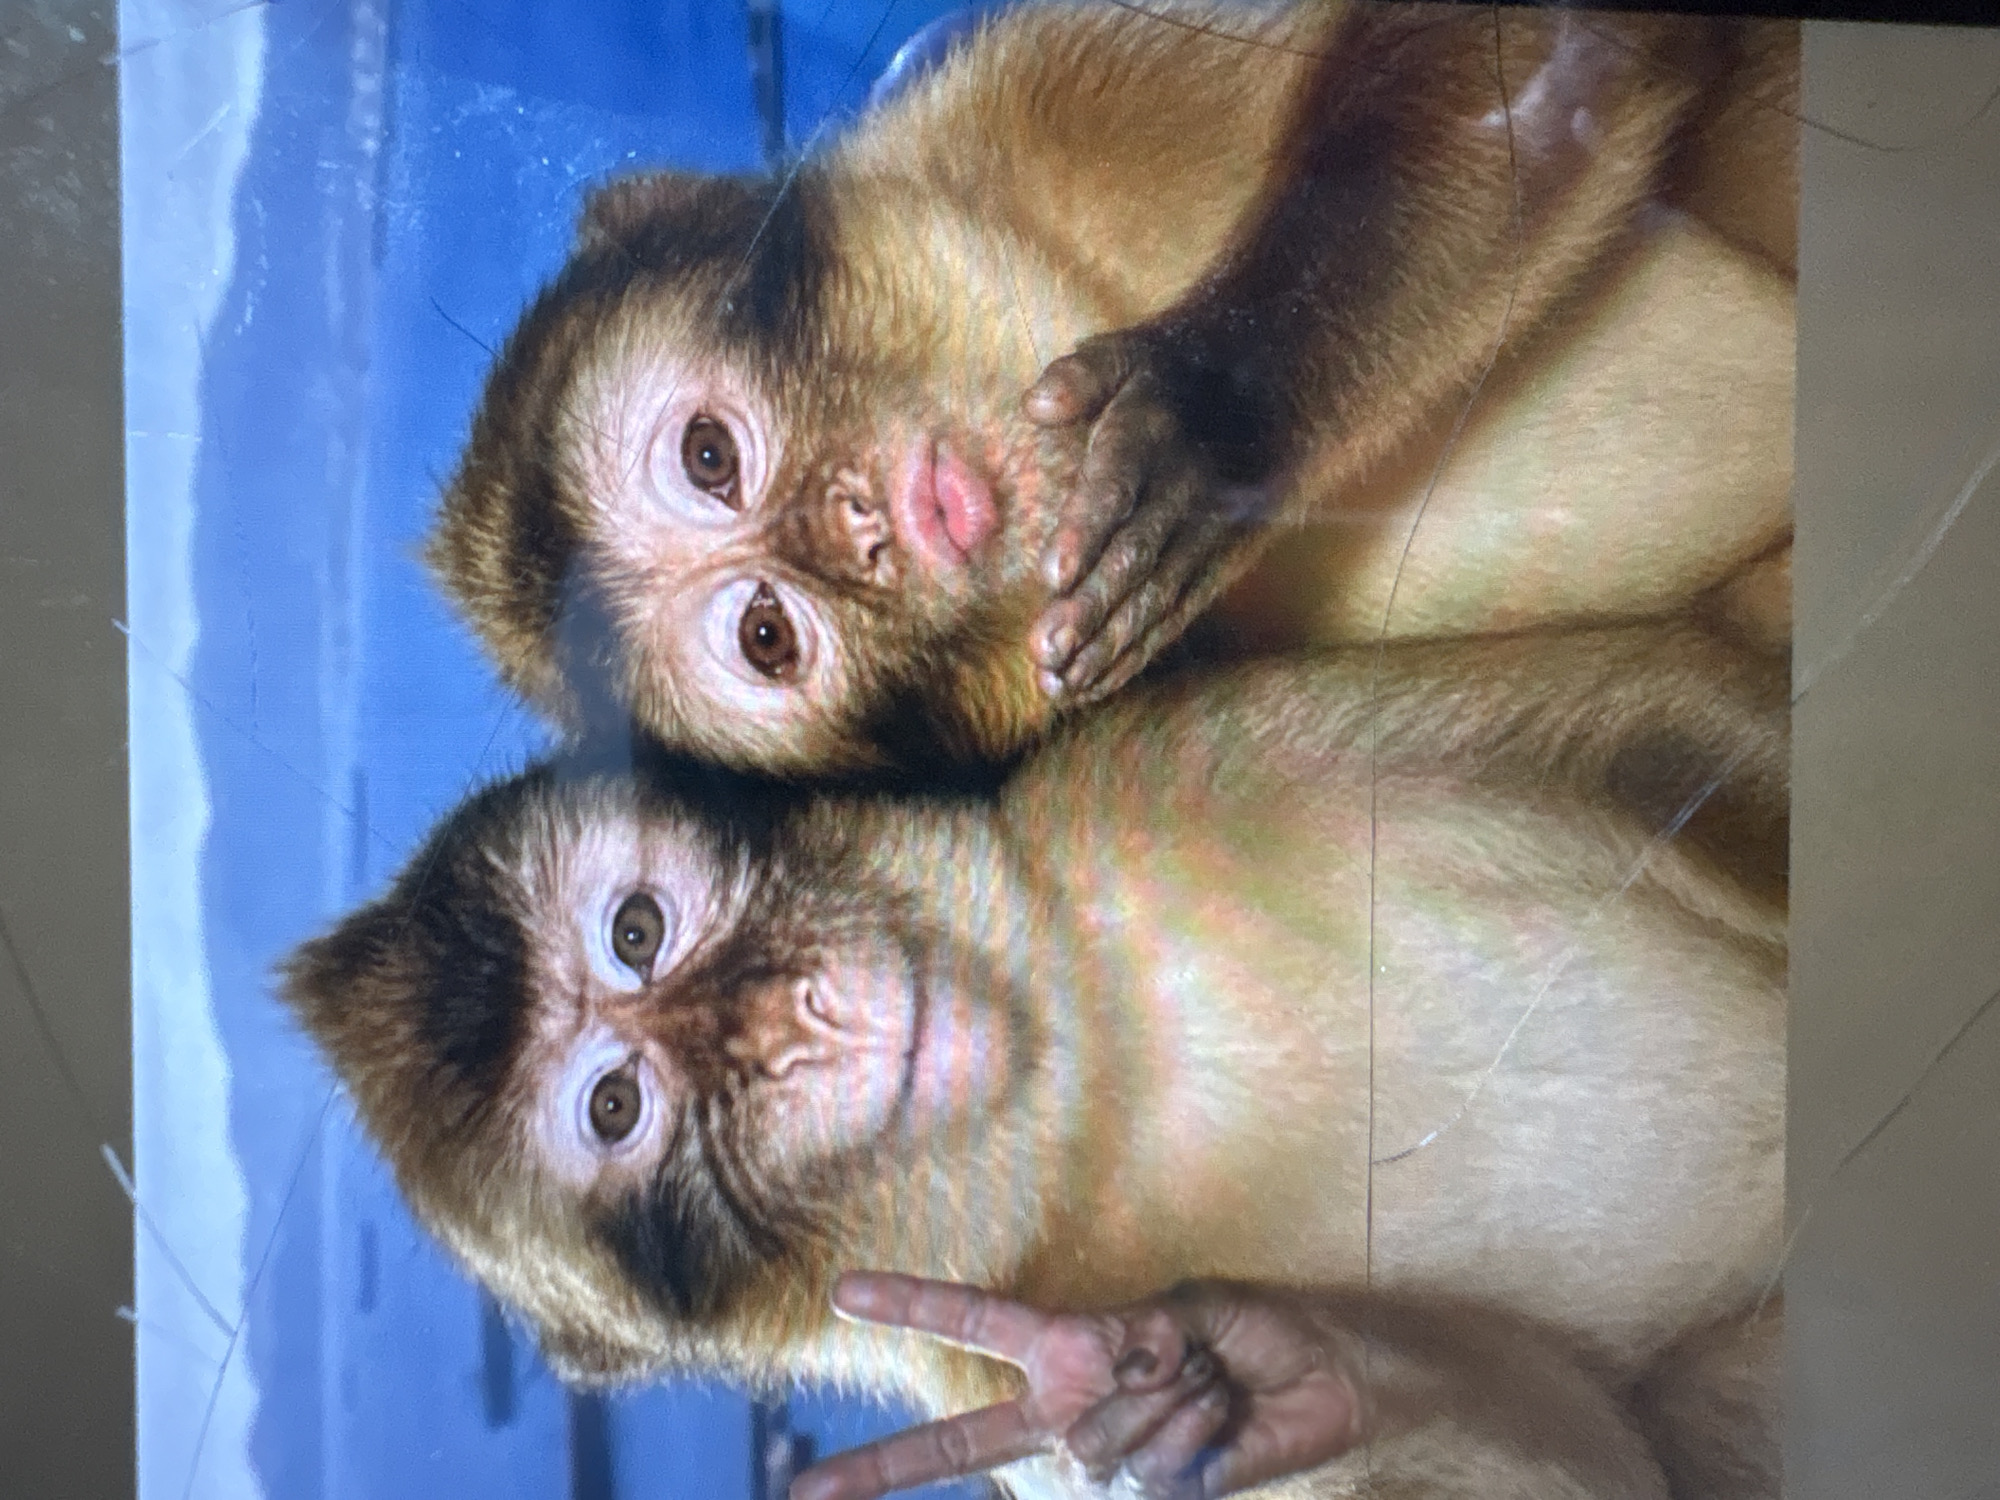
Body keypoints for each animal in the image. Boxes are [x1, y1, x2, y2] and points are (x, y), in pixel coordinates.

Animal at [280, 621, 1787, 1499]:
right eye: (616, 1104)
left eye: (637, 929)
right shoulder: (998, 1407)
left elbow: (1690, 718)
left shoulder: (1165, 756)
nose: (782, 1023)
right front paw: (1262, 1373)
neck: (1099, 1082)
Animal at [425, 0, 1796, 777]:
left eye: (709, 455)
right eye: (769, 635)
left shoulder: (1039, 85)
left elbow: (1552, 45)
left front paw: (1215, 413)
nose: (862, 530)